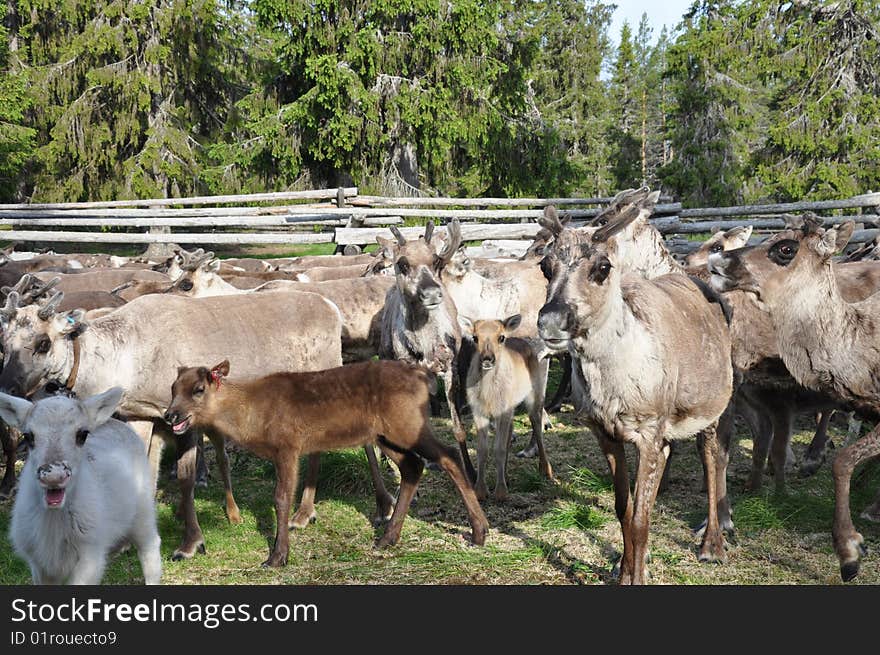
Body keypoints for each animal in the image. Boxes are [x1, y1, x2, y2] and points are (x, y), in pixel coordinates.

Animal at [1, 390, 162, 584]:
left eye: (82, 434)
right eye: (28, 436)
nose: (53, 476)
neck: (54, 520)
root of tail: (116, 423)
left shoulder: (91, 555)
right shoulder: (39, 563)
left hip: (143, 509)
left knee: (150, 548)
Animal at [162, 358, 484, 568]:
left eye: (199, 389)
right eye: (173, 387)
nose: (170, 415)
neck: (252, 419)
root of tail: (424, 377)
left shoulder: (288, 445)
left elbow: (281, 498)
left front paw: (277, 557)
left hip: (408, 425)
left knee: (448, 456)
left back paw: (479, 531)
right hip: (386, 435)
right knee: (412, 467)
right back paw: (387, 538)